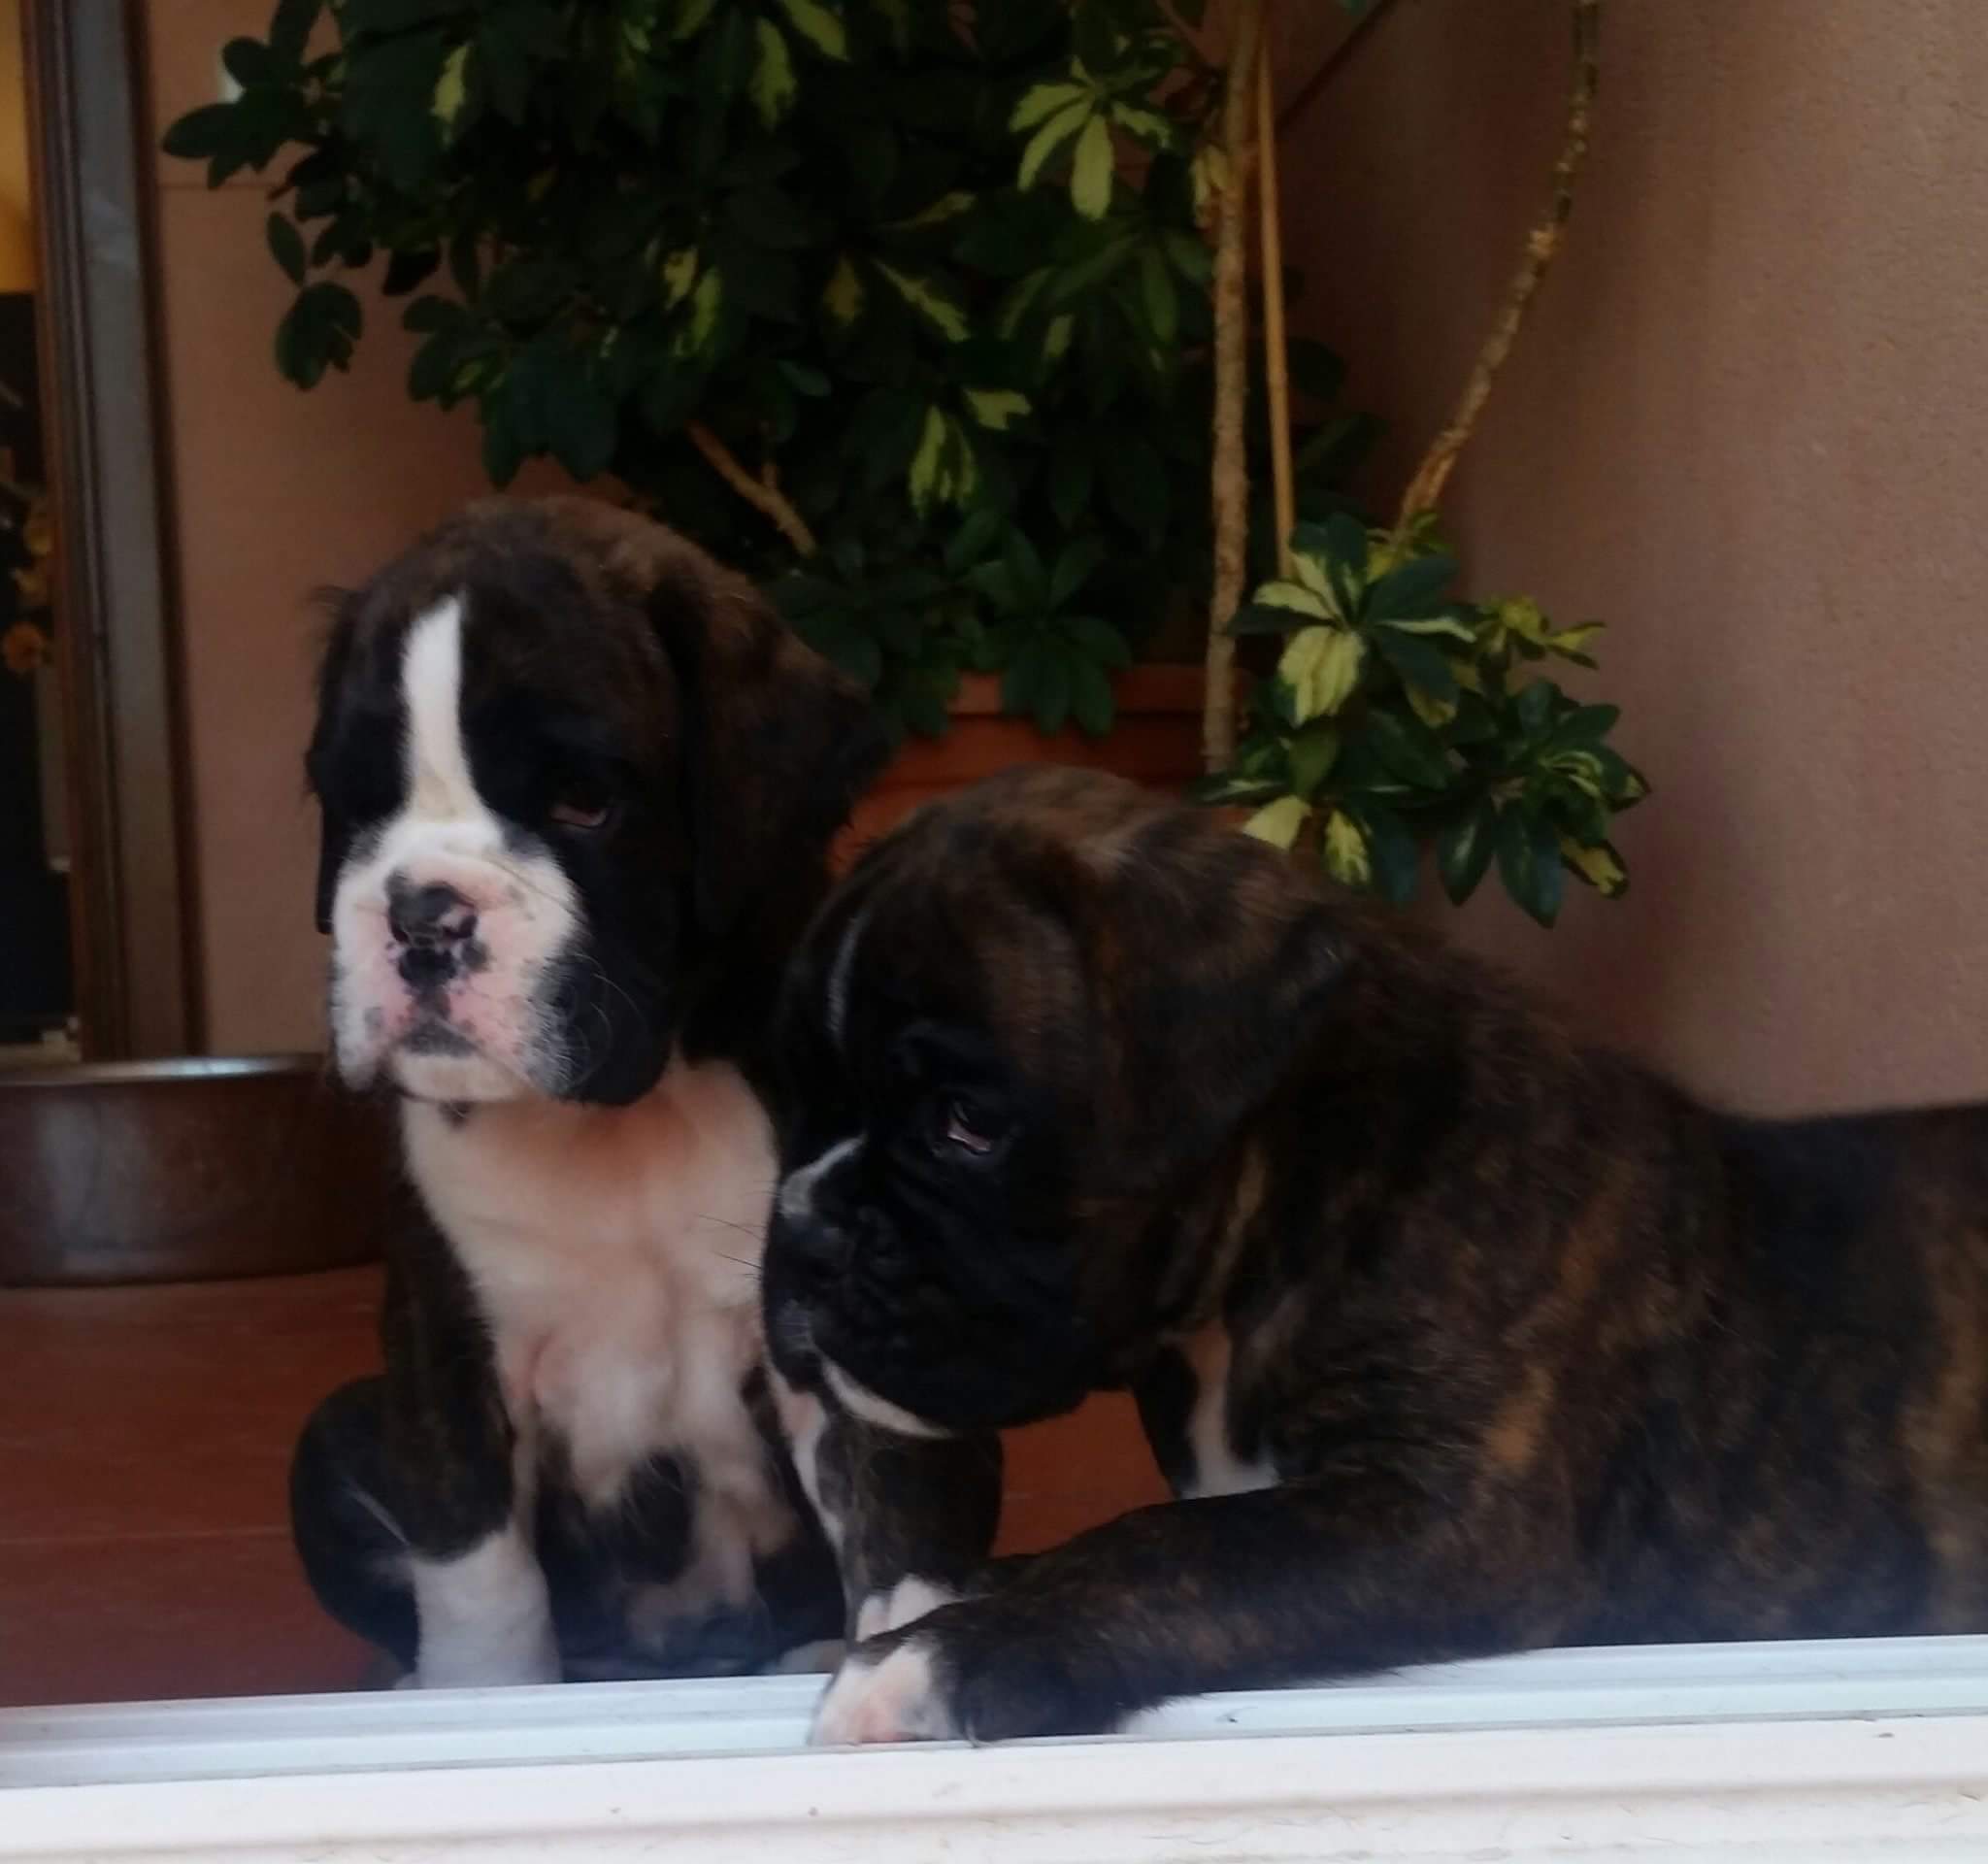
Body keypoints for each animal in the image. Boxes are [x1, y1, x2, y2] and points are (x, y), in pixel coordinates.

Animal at [287, 494, 886, 1684]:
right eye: (360, 804)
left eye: (583, 805)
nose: (420, 915)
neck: (621, 1119)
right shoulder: (449, 1364)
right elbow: (479, 1587)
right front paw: (479, 1697)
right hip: (333, 1441)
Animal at [759, 763, 1988, 1732]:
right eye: (798, 1103)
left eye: (964, 1122)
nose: (801, 1233)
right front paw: (943, 1592)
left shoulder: (1445, 1509)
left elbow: (1170, 1546)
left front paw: (942, 1654)